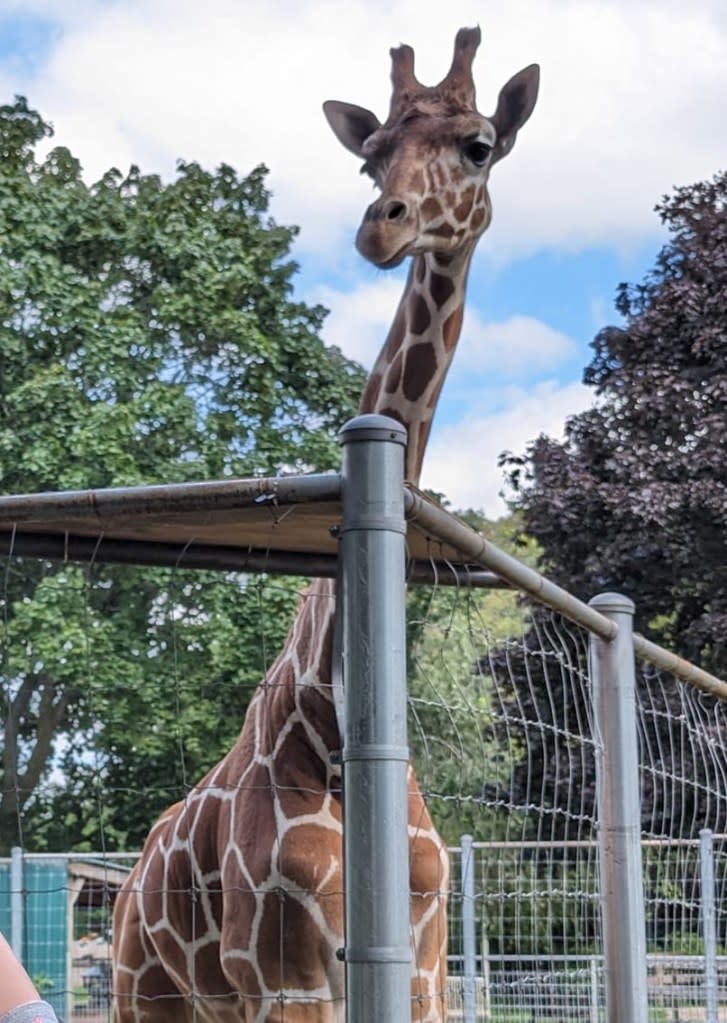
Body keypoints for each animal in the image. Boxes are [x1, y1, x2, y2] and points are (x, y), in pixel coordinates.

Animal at [109, 24, 539, 1023]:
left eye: (478, 144)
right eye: (369, 155)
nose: (383, 224)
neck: (334, 728)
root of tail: (128, 877)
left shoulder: (422, 969)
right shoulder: (285, 974)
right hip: (144, 994)